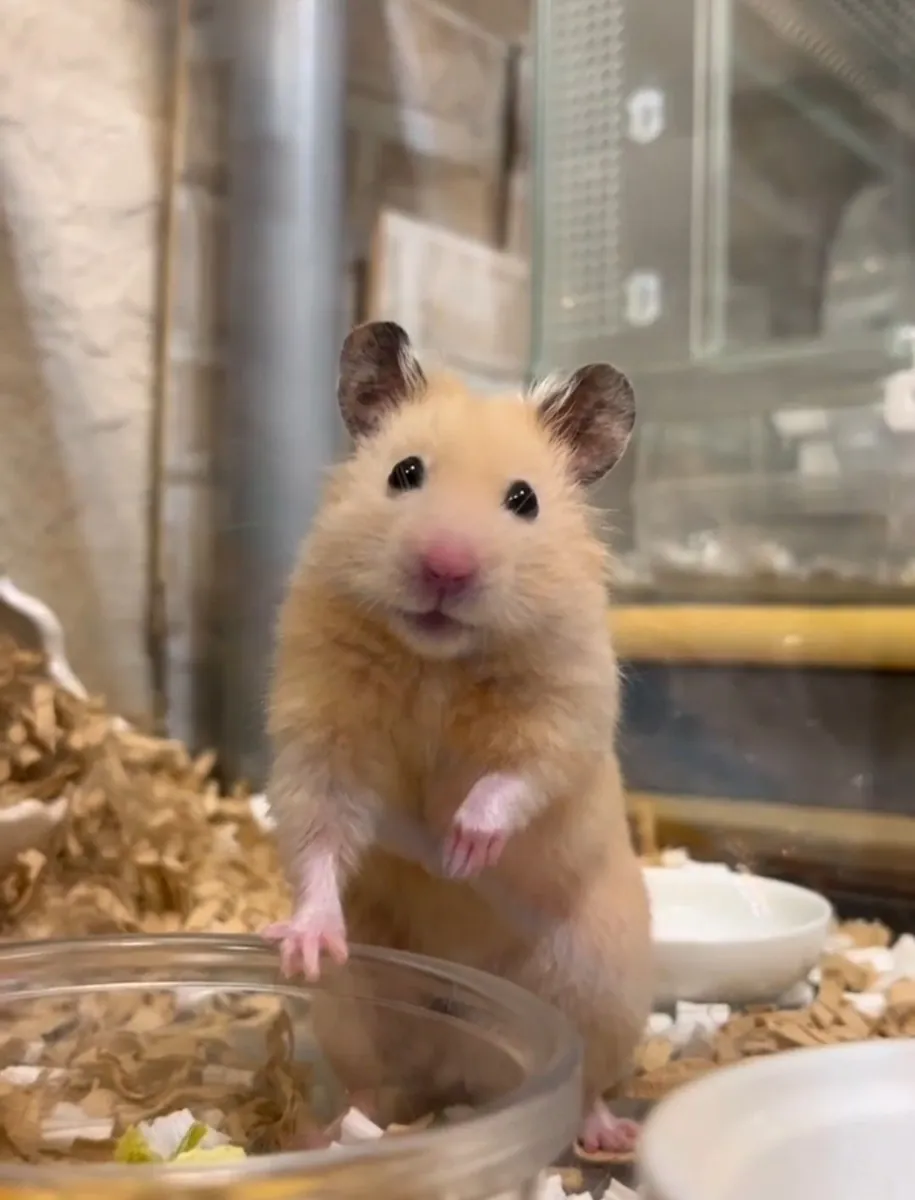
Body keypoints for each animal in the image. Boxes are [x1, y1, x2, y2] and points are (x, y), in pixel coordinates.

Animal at [263, 321, 653, 1155]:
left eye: (523, 500)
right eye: (404, 473)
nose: (445, 567)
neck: (437, 661)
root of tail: (466, 1069)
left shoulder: (566, 710)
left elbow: (518, 777)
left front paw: (460, 851)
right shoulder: (321, 731)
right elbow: (319, 829)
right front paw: (305, 943)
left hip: (598, 986)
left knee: (587, 1085)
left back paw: (609, 1134)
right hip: (360, 1012)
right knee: (379, 1086)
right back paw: (334, 1129)